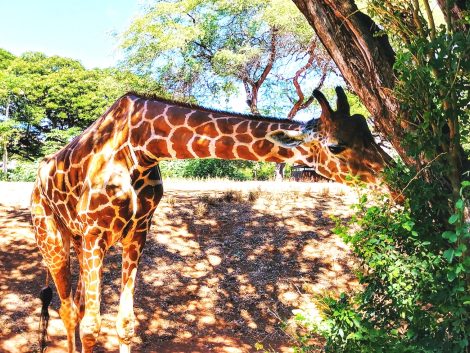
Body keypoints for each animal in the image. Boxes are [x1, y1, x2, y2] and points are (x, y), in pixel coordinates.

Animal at [30, 86, 392, 352]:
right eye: (335, 146)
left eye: (369, 132)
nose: (391, 175)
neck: (144, 145)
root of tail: (37, 180)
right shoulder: (96, 232)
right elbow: (93, 327)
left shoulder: (137, 233)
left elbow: (126, 323)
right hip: (54, 238)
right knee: (67, 308)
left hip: (79, 240)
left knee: (76, 306)